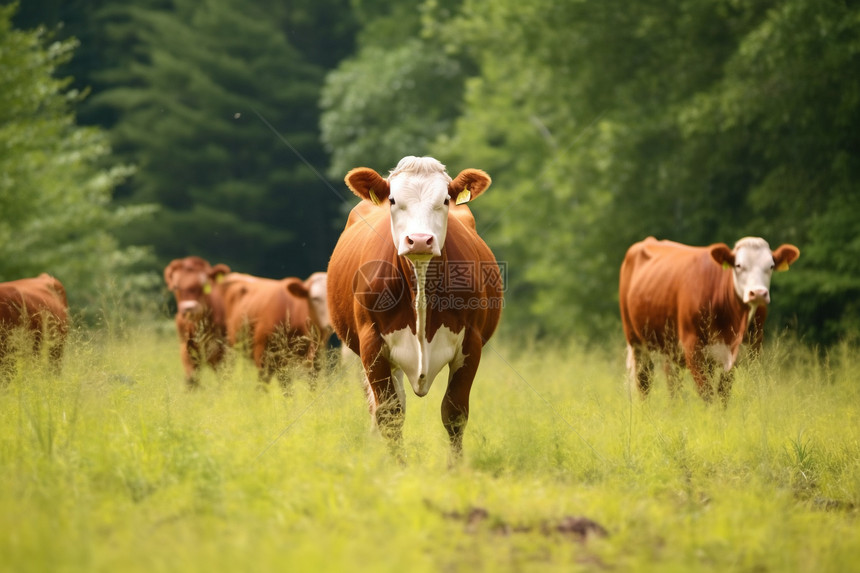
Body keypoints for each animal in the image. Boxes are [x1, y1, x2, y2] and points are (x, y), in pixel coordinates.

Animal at [164, 256, 232, 386]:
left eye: (203, 286)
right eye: (176, 287)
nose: (189, 308)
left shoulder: (224, 353)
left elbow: (223, 379)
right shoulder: (186, 351)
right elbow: (192, 381)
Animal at [330, 154, 504, 458]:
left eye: (445, 200)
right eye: (392, 200)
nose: (420, 240)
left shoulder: (471, 343)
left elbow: (454, 413)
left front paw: (455, 467)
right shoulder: (371, 344)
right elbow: (390, 414)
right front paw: (397, 465)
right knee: (381, 406)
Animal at [620, 236, 800, 402]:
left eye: (771, 266)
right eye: (738, 265)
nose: (758, 293)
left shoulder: (747, 349)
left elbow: (722, 395)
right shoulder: (693, 349)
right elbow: (707, 395)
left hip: (672, 348)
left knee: (673, 383)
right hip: (636, 341)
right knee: (644, 380)